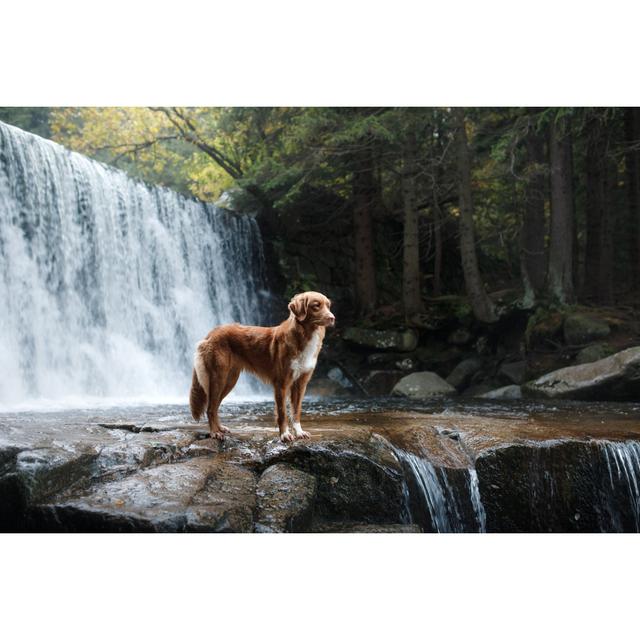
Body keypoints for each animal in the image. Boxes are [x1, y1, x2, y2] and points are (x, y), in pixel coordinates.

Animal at [188, 292, 336, 442]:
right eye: (316, 306)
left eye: (328, 306)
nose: (332, 318)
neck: (304, 336)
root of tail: (212, 332)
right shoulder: (281, 384)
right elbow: (282, 412)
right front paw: (284, 434)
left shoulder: (300, 384)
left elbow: (296, 411)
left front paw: (299, 432)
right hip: (219, 377)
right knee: (210, 408)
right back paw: (215, 432)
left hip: (230, 380)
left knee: (215, 406)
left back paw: (220, 428)